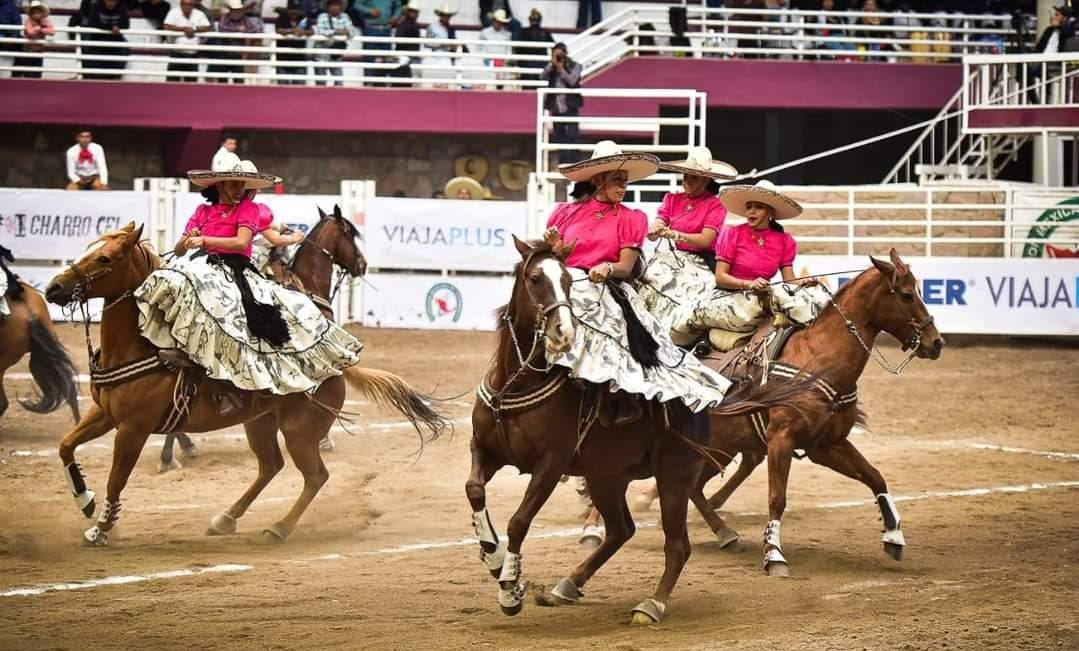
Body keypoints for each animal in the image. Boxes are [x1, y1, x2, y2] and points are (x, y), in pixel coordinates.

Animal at [463, 235, 824, 626]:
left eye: (568, 280)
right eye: (534, 278)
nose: (564, 333)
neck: (516, 384)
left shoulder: (550, 466)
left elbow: (519, 522)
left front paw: (510, 590)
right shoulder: (484, 449)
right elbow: (474, 490)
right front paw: (493, 556)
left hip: (673, 475)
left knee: (678, 545)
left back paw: (651, 605)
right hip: (606, 476)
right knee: (621, 530)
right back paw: (566, 586)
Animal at [681, 248, 945, 574]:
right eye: (907, 295)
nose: (936, 343)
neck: (817, 360)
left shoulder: (826, 444)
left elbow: (874, 477)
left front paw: (894, 535)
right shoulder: (781, 439)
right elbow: (777, 498)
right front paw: (774, 555)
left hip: (720, 446)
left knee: (694, 487)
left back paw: (725, 533)